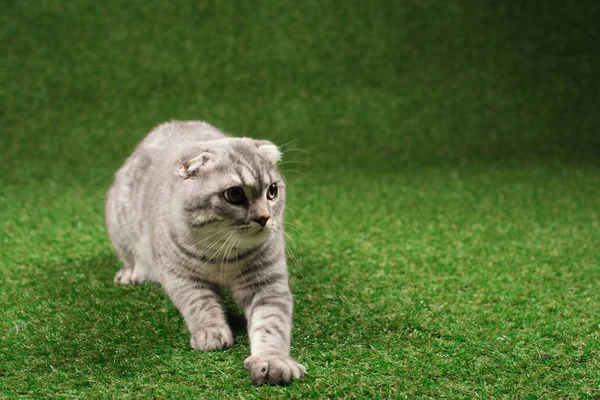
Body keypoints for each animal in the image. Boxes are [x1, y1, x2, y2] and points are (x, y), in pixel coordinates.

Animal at [103, 121, 308, 384]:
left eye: (272, 191)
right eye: (234, 194)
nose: (264, 217)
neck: (223, 255)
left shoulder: (268, 284)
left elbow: (271, 324)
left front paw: (272, 361)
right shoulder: (182, 277)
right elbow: (201, 305)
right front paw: (211, 333)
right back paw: (131, 273)